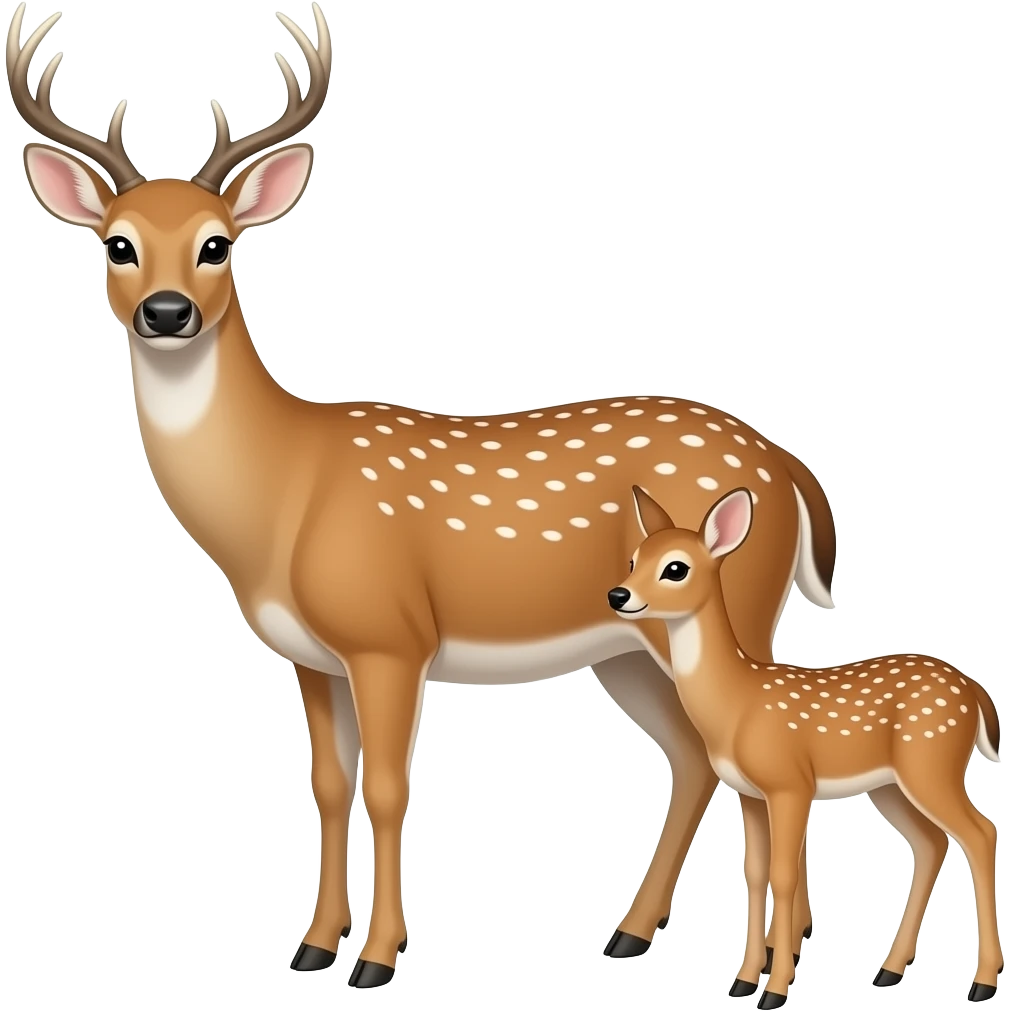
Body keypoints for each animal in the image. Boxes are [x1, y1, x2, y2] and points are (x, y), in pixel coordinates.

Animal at [7, 2, 914, 989]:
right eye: (117, 244)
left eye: (218, 243)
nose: (166, 312)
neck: (281, 496)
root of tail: (789, 469)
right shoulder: (310, 656)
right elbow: (327, 785)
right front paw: (313, 944)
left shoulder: (389, 633)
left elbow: (388, 786)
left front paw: (375, 957)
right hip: (632, 648)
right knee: (691, 759)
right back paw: (632, 933)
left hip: (738, 605)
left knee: (742, 746)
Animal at [608, 485, 1004, 1007]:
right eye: (633, 559)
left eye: (676, 567)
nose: (617, 595)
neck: (738, 704)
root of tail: (976, 693)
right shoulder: (749, 792)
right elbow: (754, 872)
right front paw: (742, 982)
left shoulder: (790, 784)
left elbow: (784, 874)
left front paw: (775, 990)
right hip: (891, 786)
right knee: (931, 843)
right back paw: (889, 971)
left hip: (932, 763)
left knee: (981, 833)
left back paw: (982, 982)